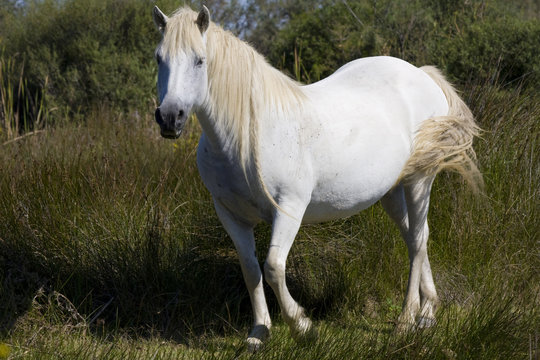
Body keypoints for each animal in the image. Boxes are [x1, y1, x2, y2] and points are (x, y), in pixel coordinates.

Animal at [151, 5, 480, 352]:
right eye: (159, 58)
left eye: (200, 60)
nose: (169, 117)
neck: (247, 135)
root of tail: (422, 74)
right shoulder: (230, 215)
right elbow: (251, 270)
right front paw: (259, 333)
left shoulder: (289, 208)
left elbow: (273, 267)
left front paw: (303, 327)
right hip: (391, 192)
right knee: (417, 236)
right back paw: (428, 312)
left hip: (419, 180)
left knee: (416, 242)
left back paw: (405, 321)